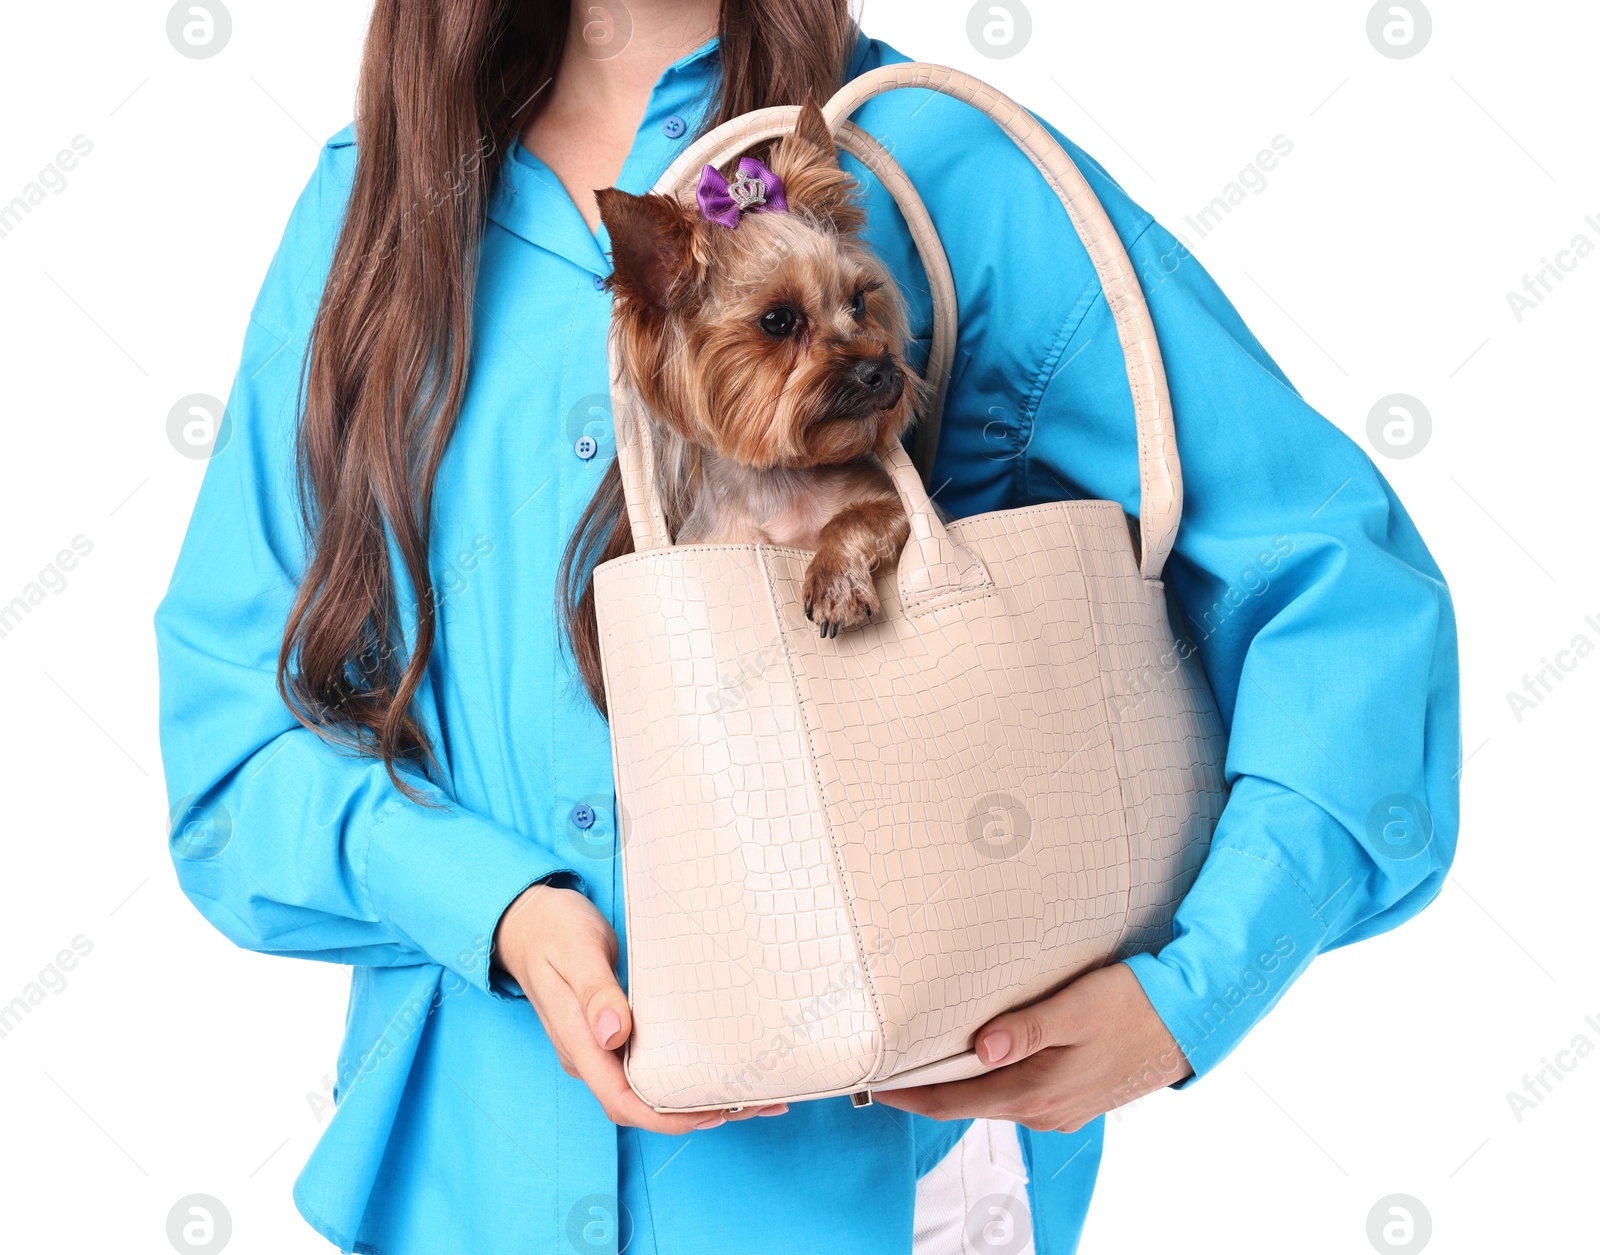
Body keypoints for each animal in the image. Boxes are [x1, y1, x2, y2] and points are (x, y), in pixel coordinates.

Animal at [566, 98, 928, 710]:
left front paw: (834, 584)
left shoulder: (910, 508)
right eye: (779, 320)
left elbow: (858, 516)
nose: (881, 371)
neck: (779, 484)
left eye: (858, 302)